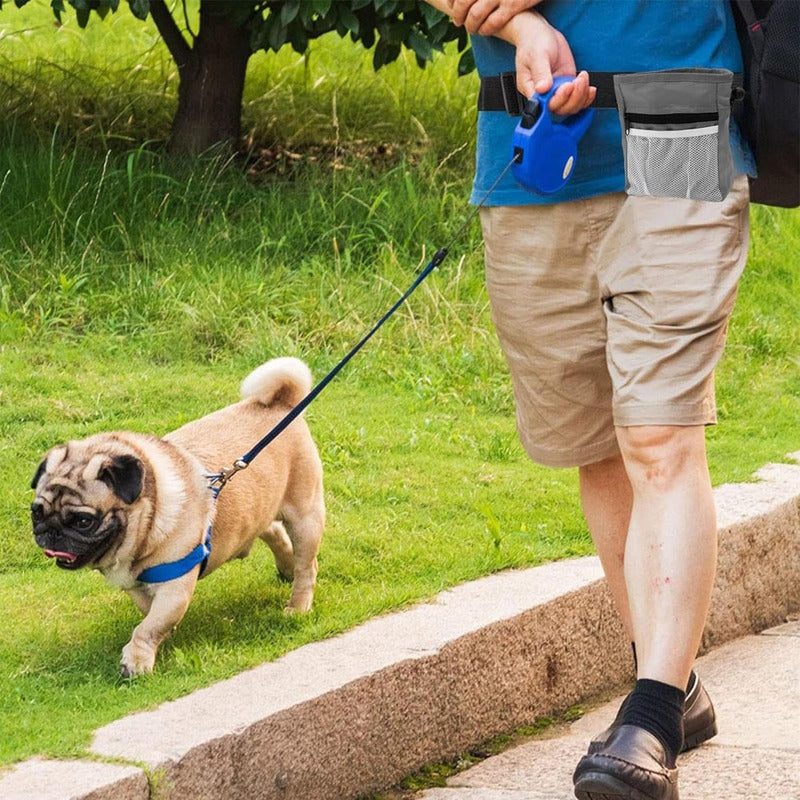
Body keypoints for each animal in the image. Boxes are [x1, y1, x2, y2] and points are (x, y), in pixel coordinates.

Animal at [30, 360, 324, 680]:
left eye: (83, 521)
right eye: (36, 512)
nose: (51, 531)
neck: (148, 520)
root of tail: (283, 402)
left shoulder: (174, 587)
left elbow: (148, 626)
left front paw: (136, 660)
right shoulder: (138, 587)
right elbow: (149, 616)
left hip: (305, 517)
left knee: (307, 566)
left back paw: (298, 605)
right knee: (272, 530)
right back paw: (286, 568)